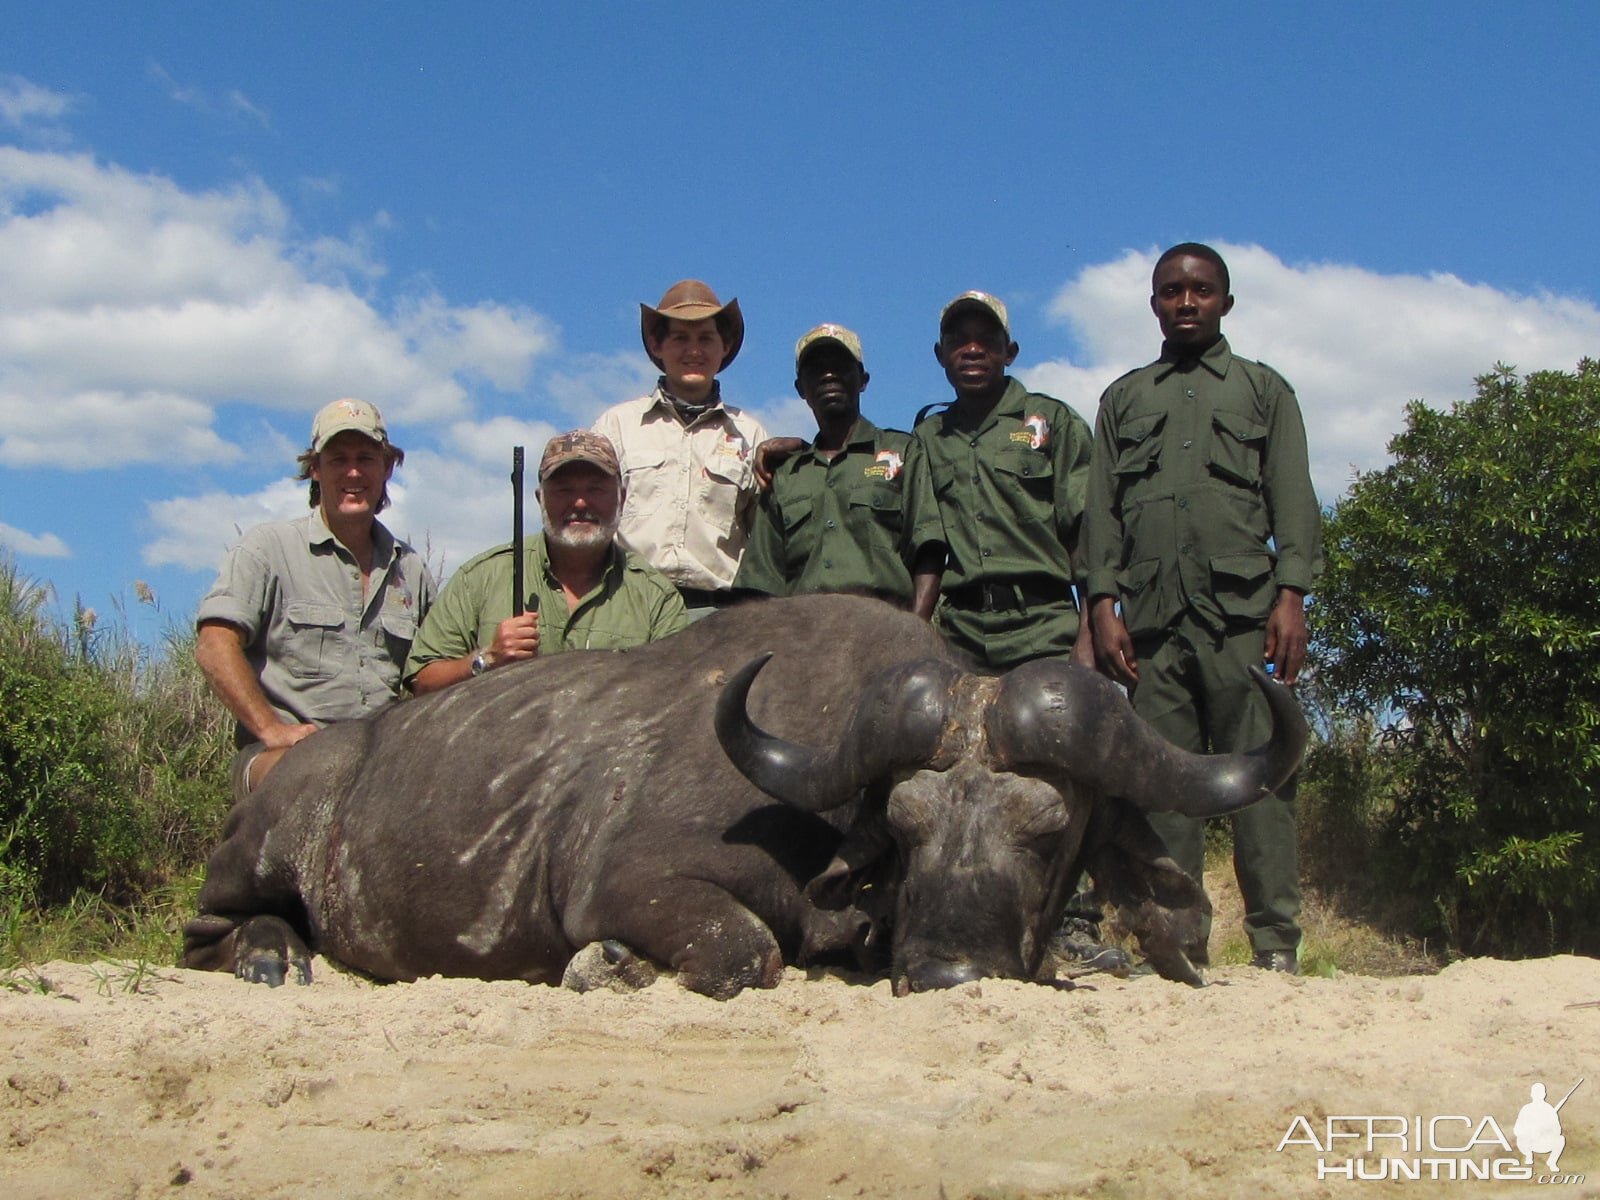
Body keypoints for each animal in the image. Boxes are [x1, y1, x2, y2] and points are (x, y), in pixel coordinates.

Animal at [181, 592, 1305, 998]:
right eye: (904, 824)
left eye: (1051, 829)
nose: (945, 972)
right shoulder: (635, 885)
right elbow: (745, 952)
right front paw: (606, 967)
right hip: (252, 856)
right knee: (212, 931)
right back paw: (274, 957)